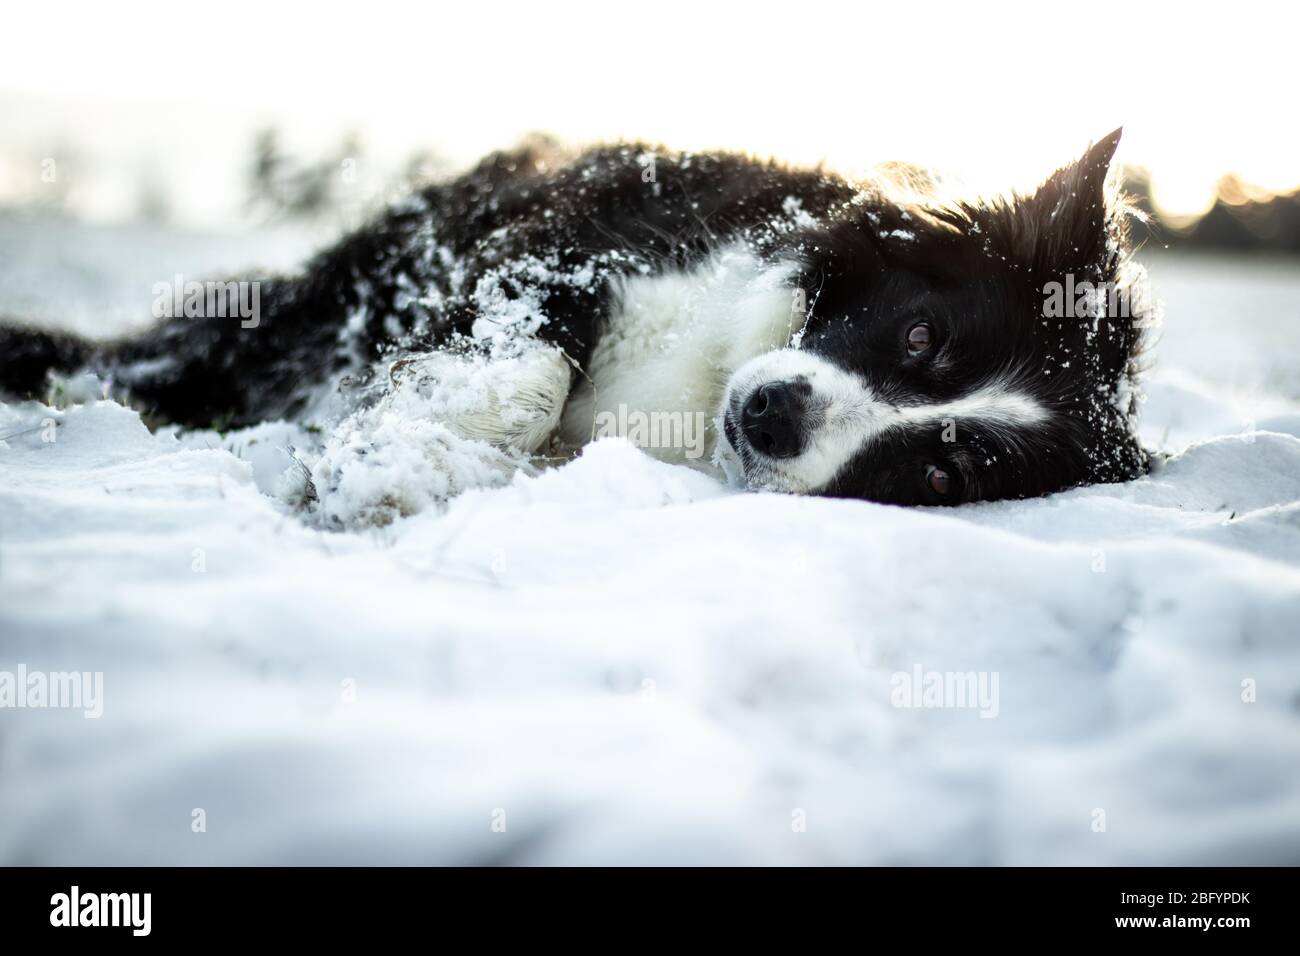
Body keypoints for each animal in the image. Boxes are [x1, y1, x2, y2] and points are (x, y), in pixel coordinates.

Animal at [0, 134, 1149, 512]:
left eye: (942, 473)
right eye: (920, 337)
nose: (773, 416)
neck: (709, 381)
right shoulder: (569, 247)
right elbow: (525, 375)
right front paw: (390, 473)